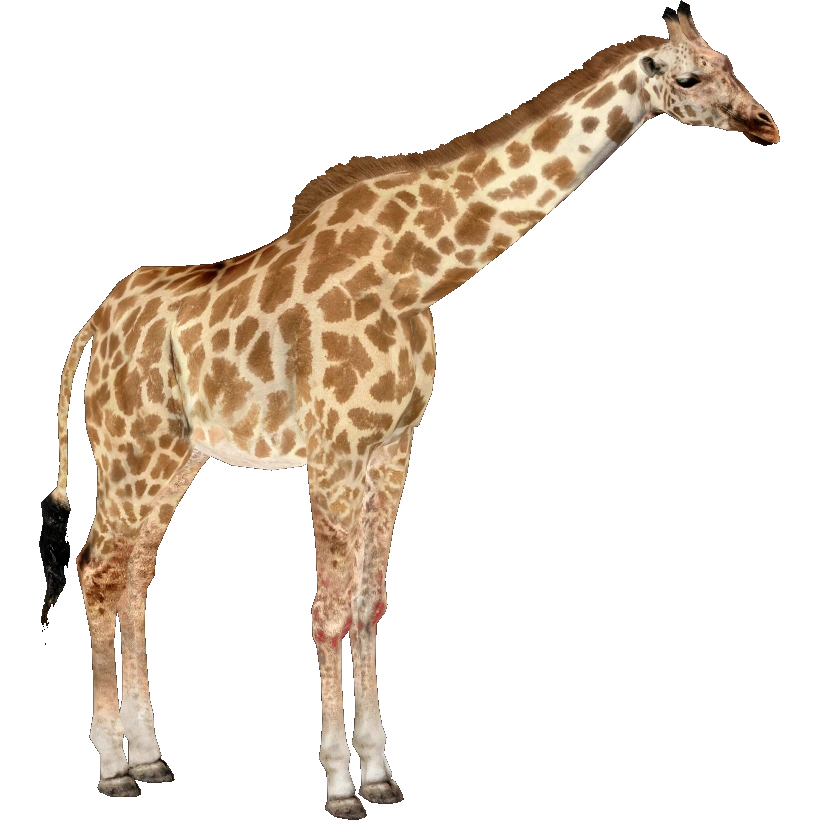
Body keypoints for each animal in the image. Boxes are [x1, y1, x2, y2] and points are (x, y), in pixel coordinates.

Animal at [36, 5, 778, 817]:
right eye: (690, 77)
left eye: (731, 63)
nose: (767, 124)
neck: (418, 274)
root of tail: (95, 321)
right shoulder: (333, 450)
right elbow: (328, 610)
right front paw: (337, 787)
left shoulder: (392, 447)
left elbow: (370, 605)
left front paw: (382, 774)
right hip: (129, 446)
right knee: (99, 568)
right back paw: (113, 768)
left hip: (177, 455)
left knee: (137, 571)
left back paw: (151, 757)